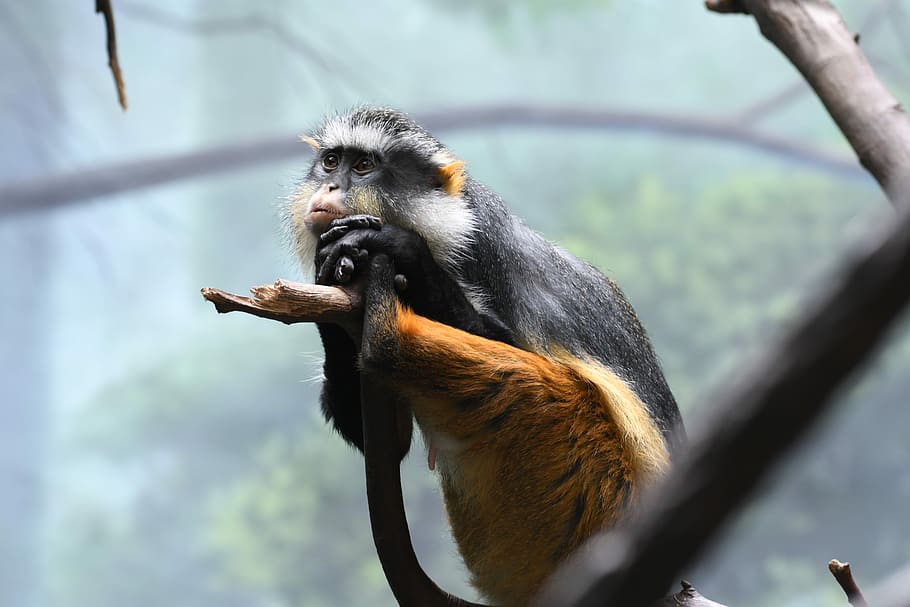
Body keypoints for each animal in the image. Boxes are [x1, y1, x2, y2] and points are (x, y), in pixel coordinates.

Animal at [285, 106, 685, 605]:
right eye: (330, 162)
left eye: (363, 167)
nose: (329, 189)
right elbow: (388, 440)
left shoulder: (483, 258)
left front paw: (407, 254)